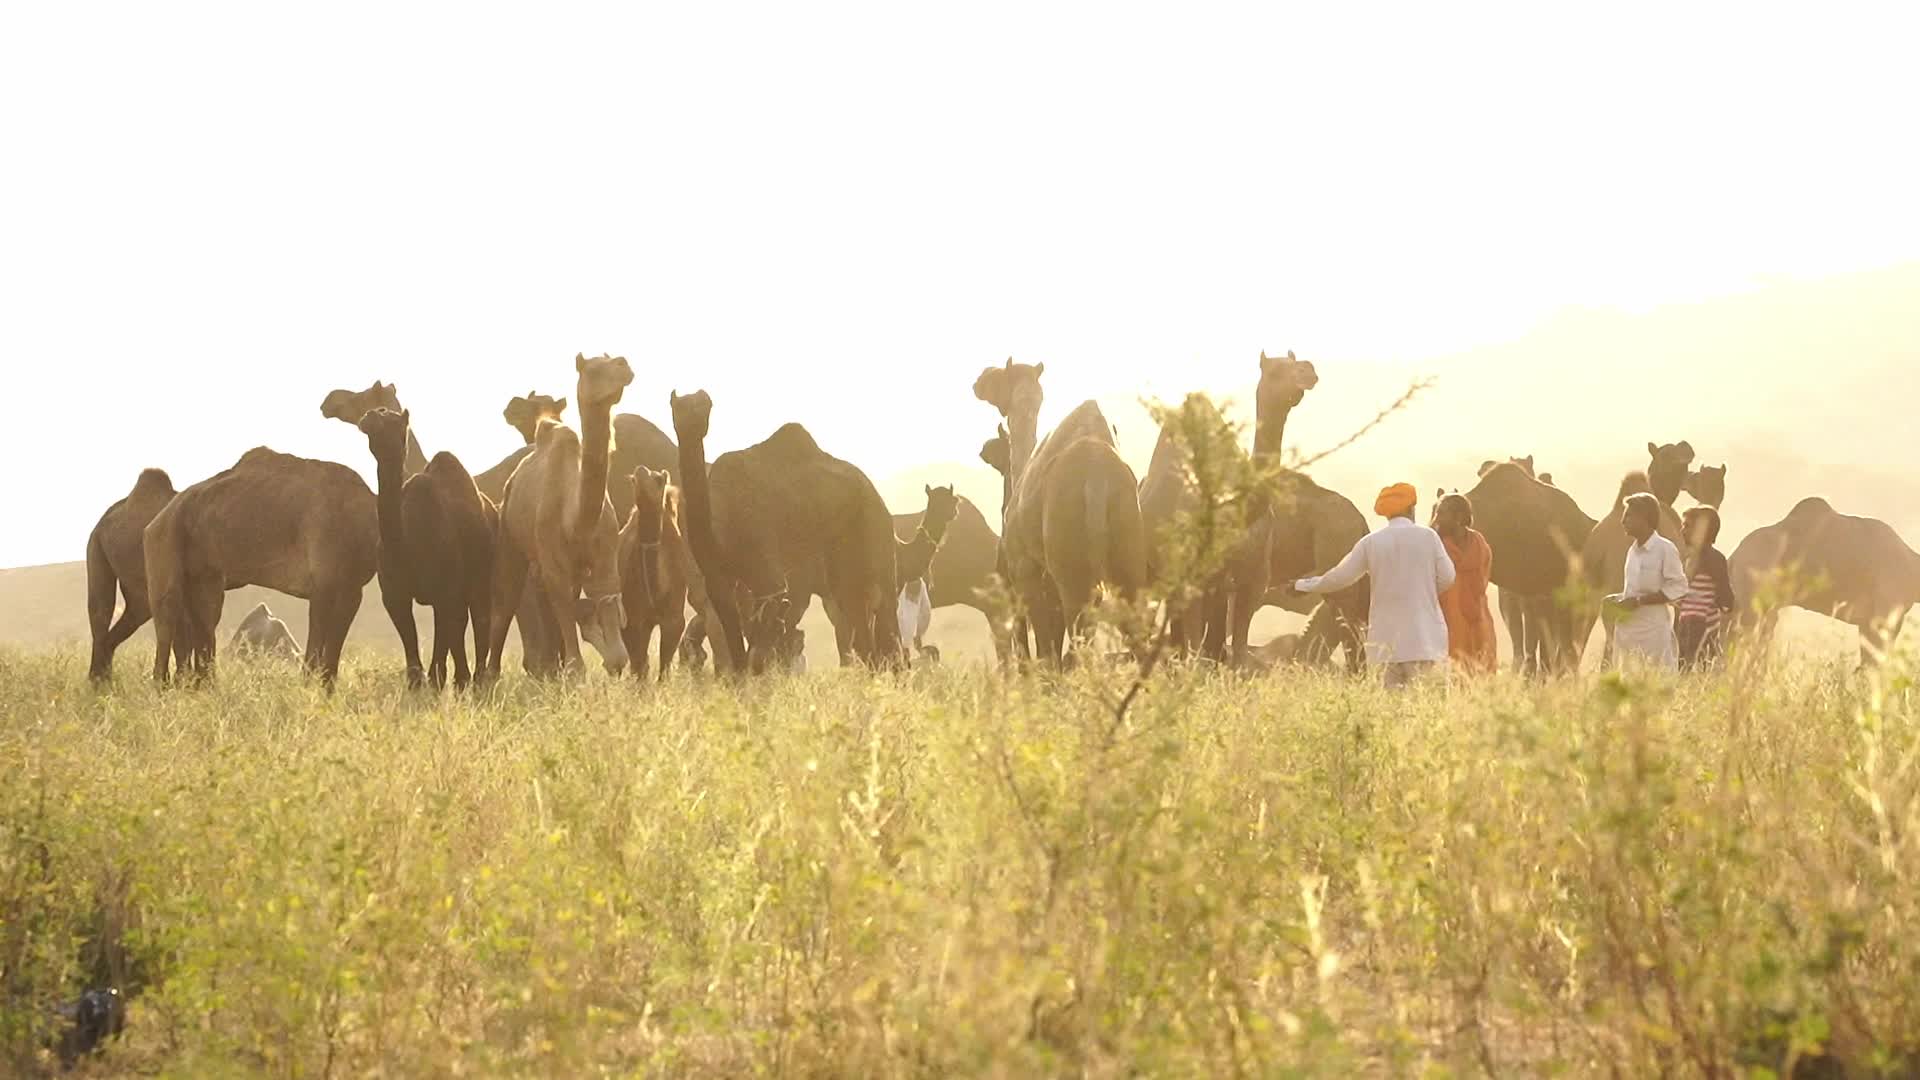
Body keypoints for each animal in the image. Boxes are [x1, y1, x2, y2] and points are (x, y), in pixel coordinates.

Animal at [143, 447, 379, 686]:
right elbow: (317, 640)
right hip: (163, 544)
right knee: (167, 614)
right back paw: (164, 686)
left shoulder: (352, 588)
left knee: (205, 620)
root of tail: (155, 520)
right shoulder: (324, 580)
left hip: (205, 573)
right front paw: (310, 688)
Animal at [359, 408, 495, 689]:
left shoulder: (445, 589)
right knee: (456, 623)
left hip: (481, 572)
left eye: (392, 419)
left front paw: (450, 680)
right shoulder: (394, 594)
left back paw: (476, 680)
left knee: (479, 616)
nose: (369, 415)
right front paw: (421, 683)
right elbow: (412, 646)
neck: (405, 545)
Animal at [482, 354, 633, 681]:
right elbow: (563, 607)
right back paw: (492, 675)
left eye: (613, 360)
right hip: (509, 536)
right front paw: (571, 669)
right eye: (593, 369)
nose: (624, 365)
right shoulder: (553, 560)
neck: (577, 520)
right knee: (505, 601)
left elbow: (608, 614)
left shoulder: (605, 557)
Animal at [614, 467, 691, 683]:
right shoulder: (634, 619)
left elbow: (664, 663)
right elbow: (640, 664)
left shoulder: (674, 619)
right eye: (634, 480)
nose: (640, 471)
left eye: (658, 480)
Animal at [669, 389, 901, 672]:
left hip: (875, 532)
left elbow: (765, 641)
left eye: (705, 406)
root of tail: (876, 495)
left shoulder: (767, 572)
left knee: (887, 619)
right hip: (843, 561)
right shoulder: (719, 583)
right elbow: (734, 634)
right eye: (678, 408)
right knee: (859, 623)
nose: (691, 420)